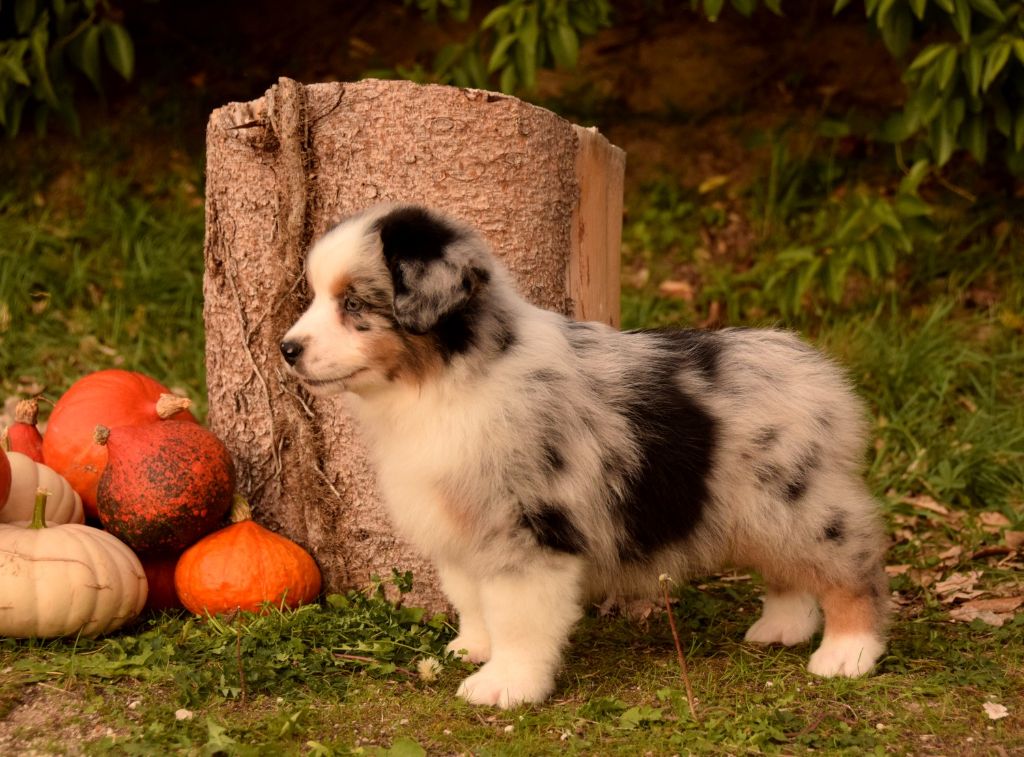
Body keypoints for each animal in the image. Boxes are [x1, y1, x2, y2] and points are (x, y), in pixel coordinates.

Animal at [281, 204, 890, 708]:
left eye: (354, 303)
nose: (286, 349)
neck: (443, 383)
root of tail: (817, 370)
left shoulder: (527, 531)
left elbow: (516, 617)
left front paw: (506, 685)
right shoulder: (461, 527)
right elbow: (472, 600)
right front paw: (472, 649)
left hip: (799, 502)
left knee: (851, 570)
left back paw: (848, 653)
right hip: (761, 508)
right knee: (787, 570)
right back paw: (783, 627)